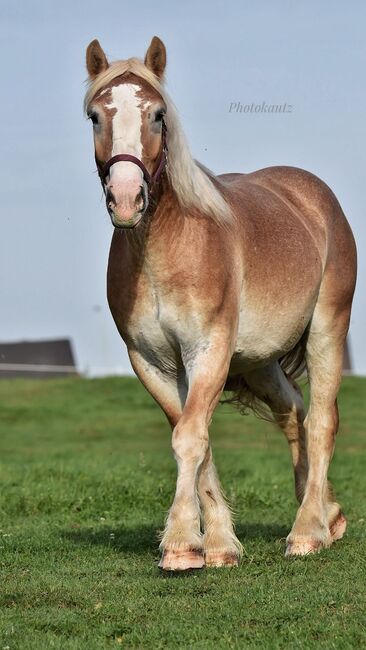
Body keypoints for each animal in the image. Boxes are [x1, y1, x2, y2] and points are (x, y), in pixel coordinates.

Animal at [84, 38, 356, 568]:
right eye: (95, 116)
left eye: (158, 115)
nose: (126, 199)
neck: (164, 251)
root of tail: (315, 197)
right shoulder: (153, 363)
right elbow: (196, 438)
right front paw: (218, 545)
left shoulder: (207, 350)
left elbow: (191, 437)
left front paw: (180, 544)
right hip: (259, 361)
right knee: (294, 413)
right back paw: (327, 516)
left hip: (326, 332)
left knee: (320, 421)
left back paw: (307, 532)